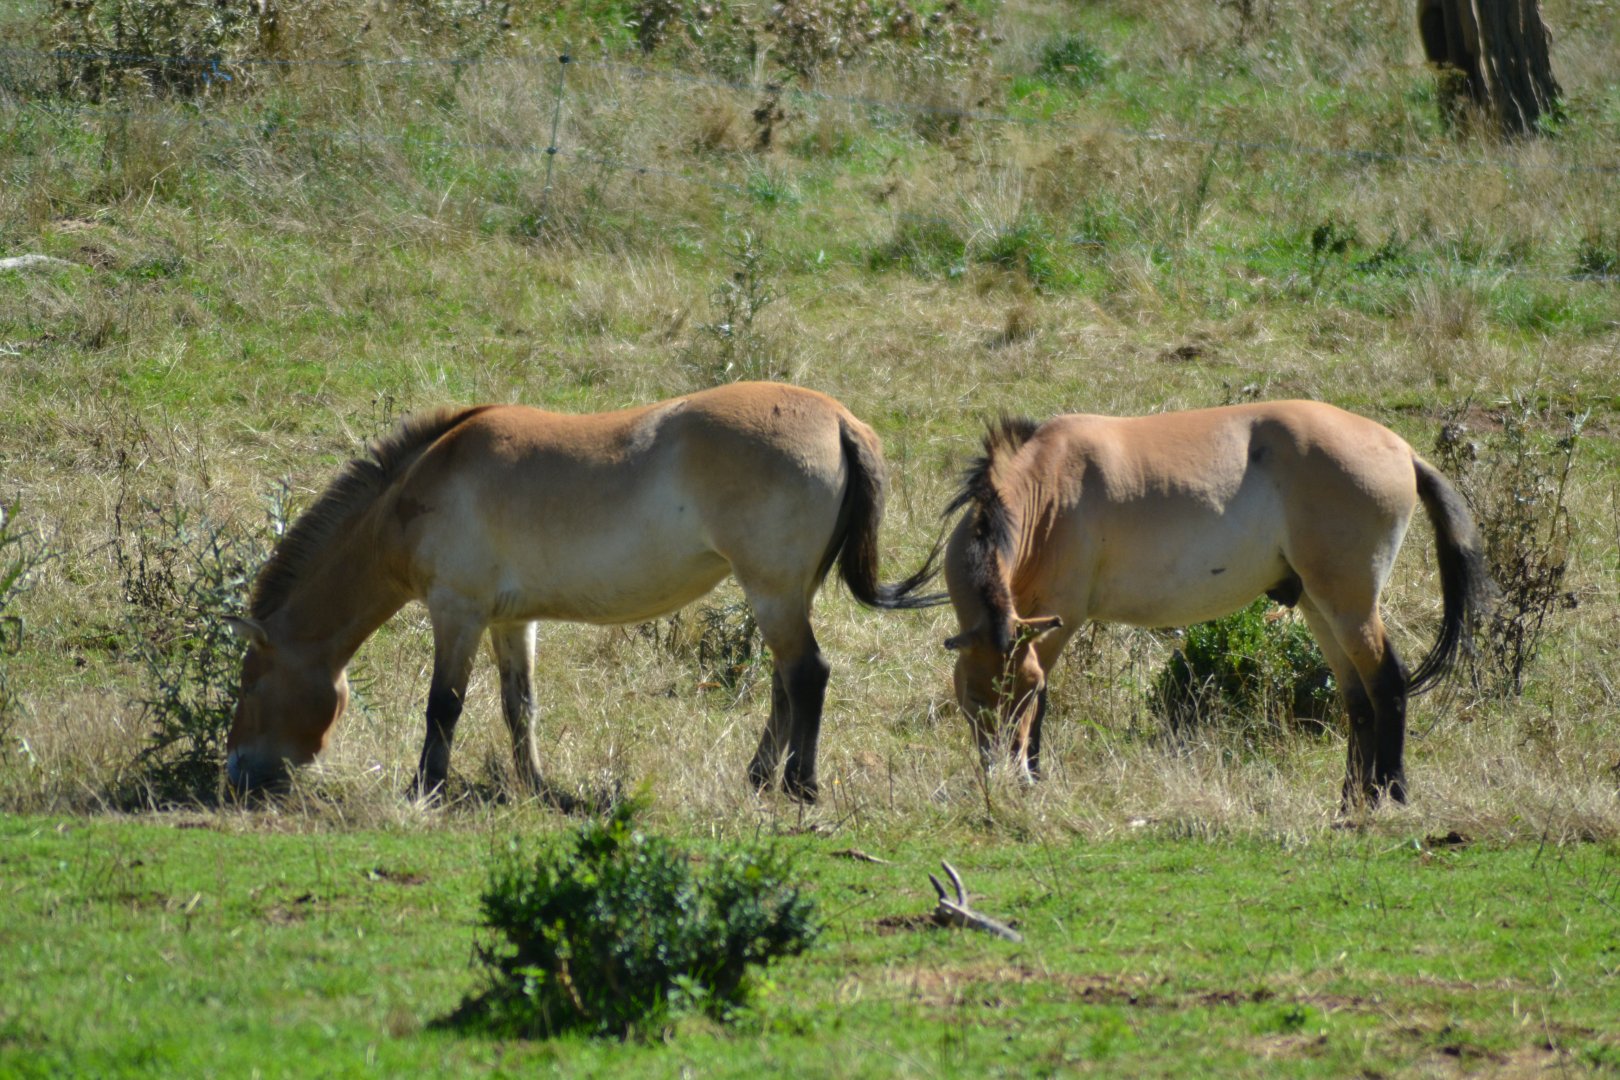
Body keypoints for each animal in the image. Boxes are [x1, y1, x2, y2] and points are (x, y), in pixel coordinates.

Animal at [223, 382, 939, 805]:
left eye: (250, 687)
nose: (235, 772)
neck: (419, 488)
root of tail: (840, 420)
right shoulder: (511, 622)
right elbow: (519, 706)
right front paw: (535, 786)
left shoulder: (457, 611)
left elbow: (443, 706)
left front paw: (423, 788)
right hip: (784, 593)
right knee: (785, 683)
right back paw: (761, 776)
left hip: (774, 592)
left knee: (808, 675)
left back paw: (799, 785)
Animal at [939, 400, 1492, 808]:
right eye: (972, 697)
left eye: (1024, 691)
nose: (1001, 772)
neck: (1050, 490)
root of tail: (1403, 450)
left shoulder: (1057, 624)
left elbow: (1043, 705)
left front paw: (1033, 776)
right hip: (1320, 606)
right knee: (1357, 700)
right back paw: (1349, 806)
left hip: (1350, 606)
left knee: (1387, 683)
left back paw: (1390, 795)